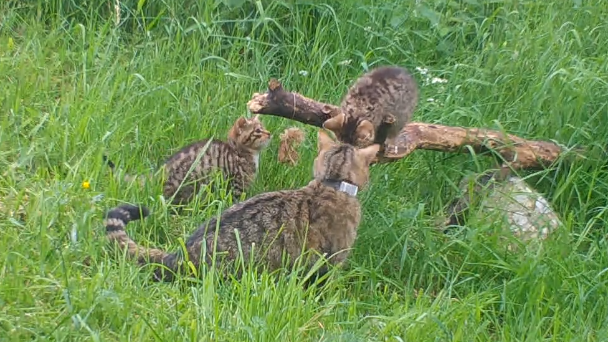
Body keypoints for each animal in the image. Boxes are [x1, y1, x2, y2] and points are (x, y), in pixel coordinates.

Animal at [103, 115, 270, 206]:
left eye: (264, 127)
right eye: (257, 131)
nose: (269, 133)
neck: (240, 152)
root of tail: (160, 173)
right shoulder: (236, 186)